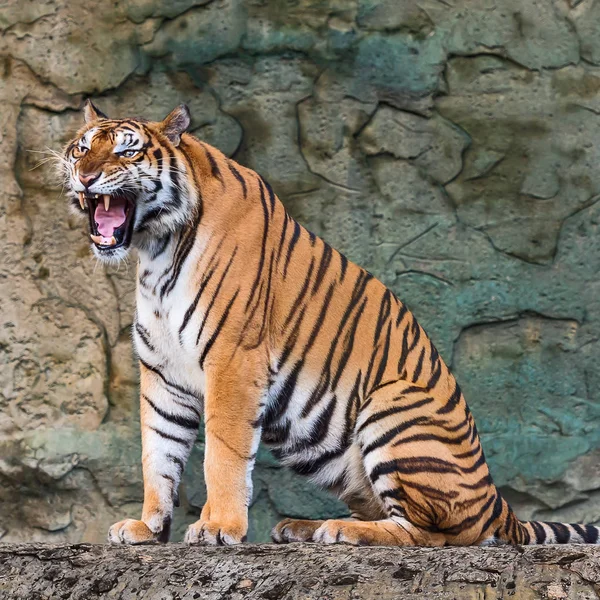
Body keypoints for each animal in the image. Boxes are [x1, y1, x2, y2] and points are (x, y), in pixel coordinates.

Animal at [61, 99, 600, 548]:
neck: (155, 251)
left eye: (127, 151)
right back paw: (303, 526)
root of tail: (497, 503)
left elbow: (223, 453)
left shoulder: (233, 360)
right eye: (82, 149)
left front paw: (218, 527)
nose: (85, 177)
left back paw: (339, 531)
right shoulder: (162, 371)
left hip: (391, 405)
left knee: (436, 533)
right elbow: (158, 454)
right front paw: (147, 528)